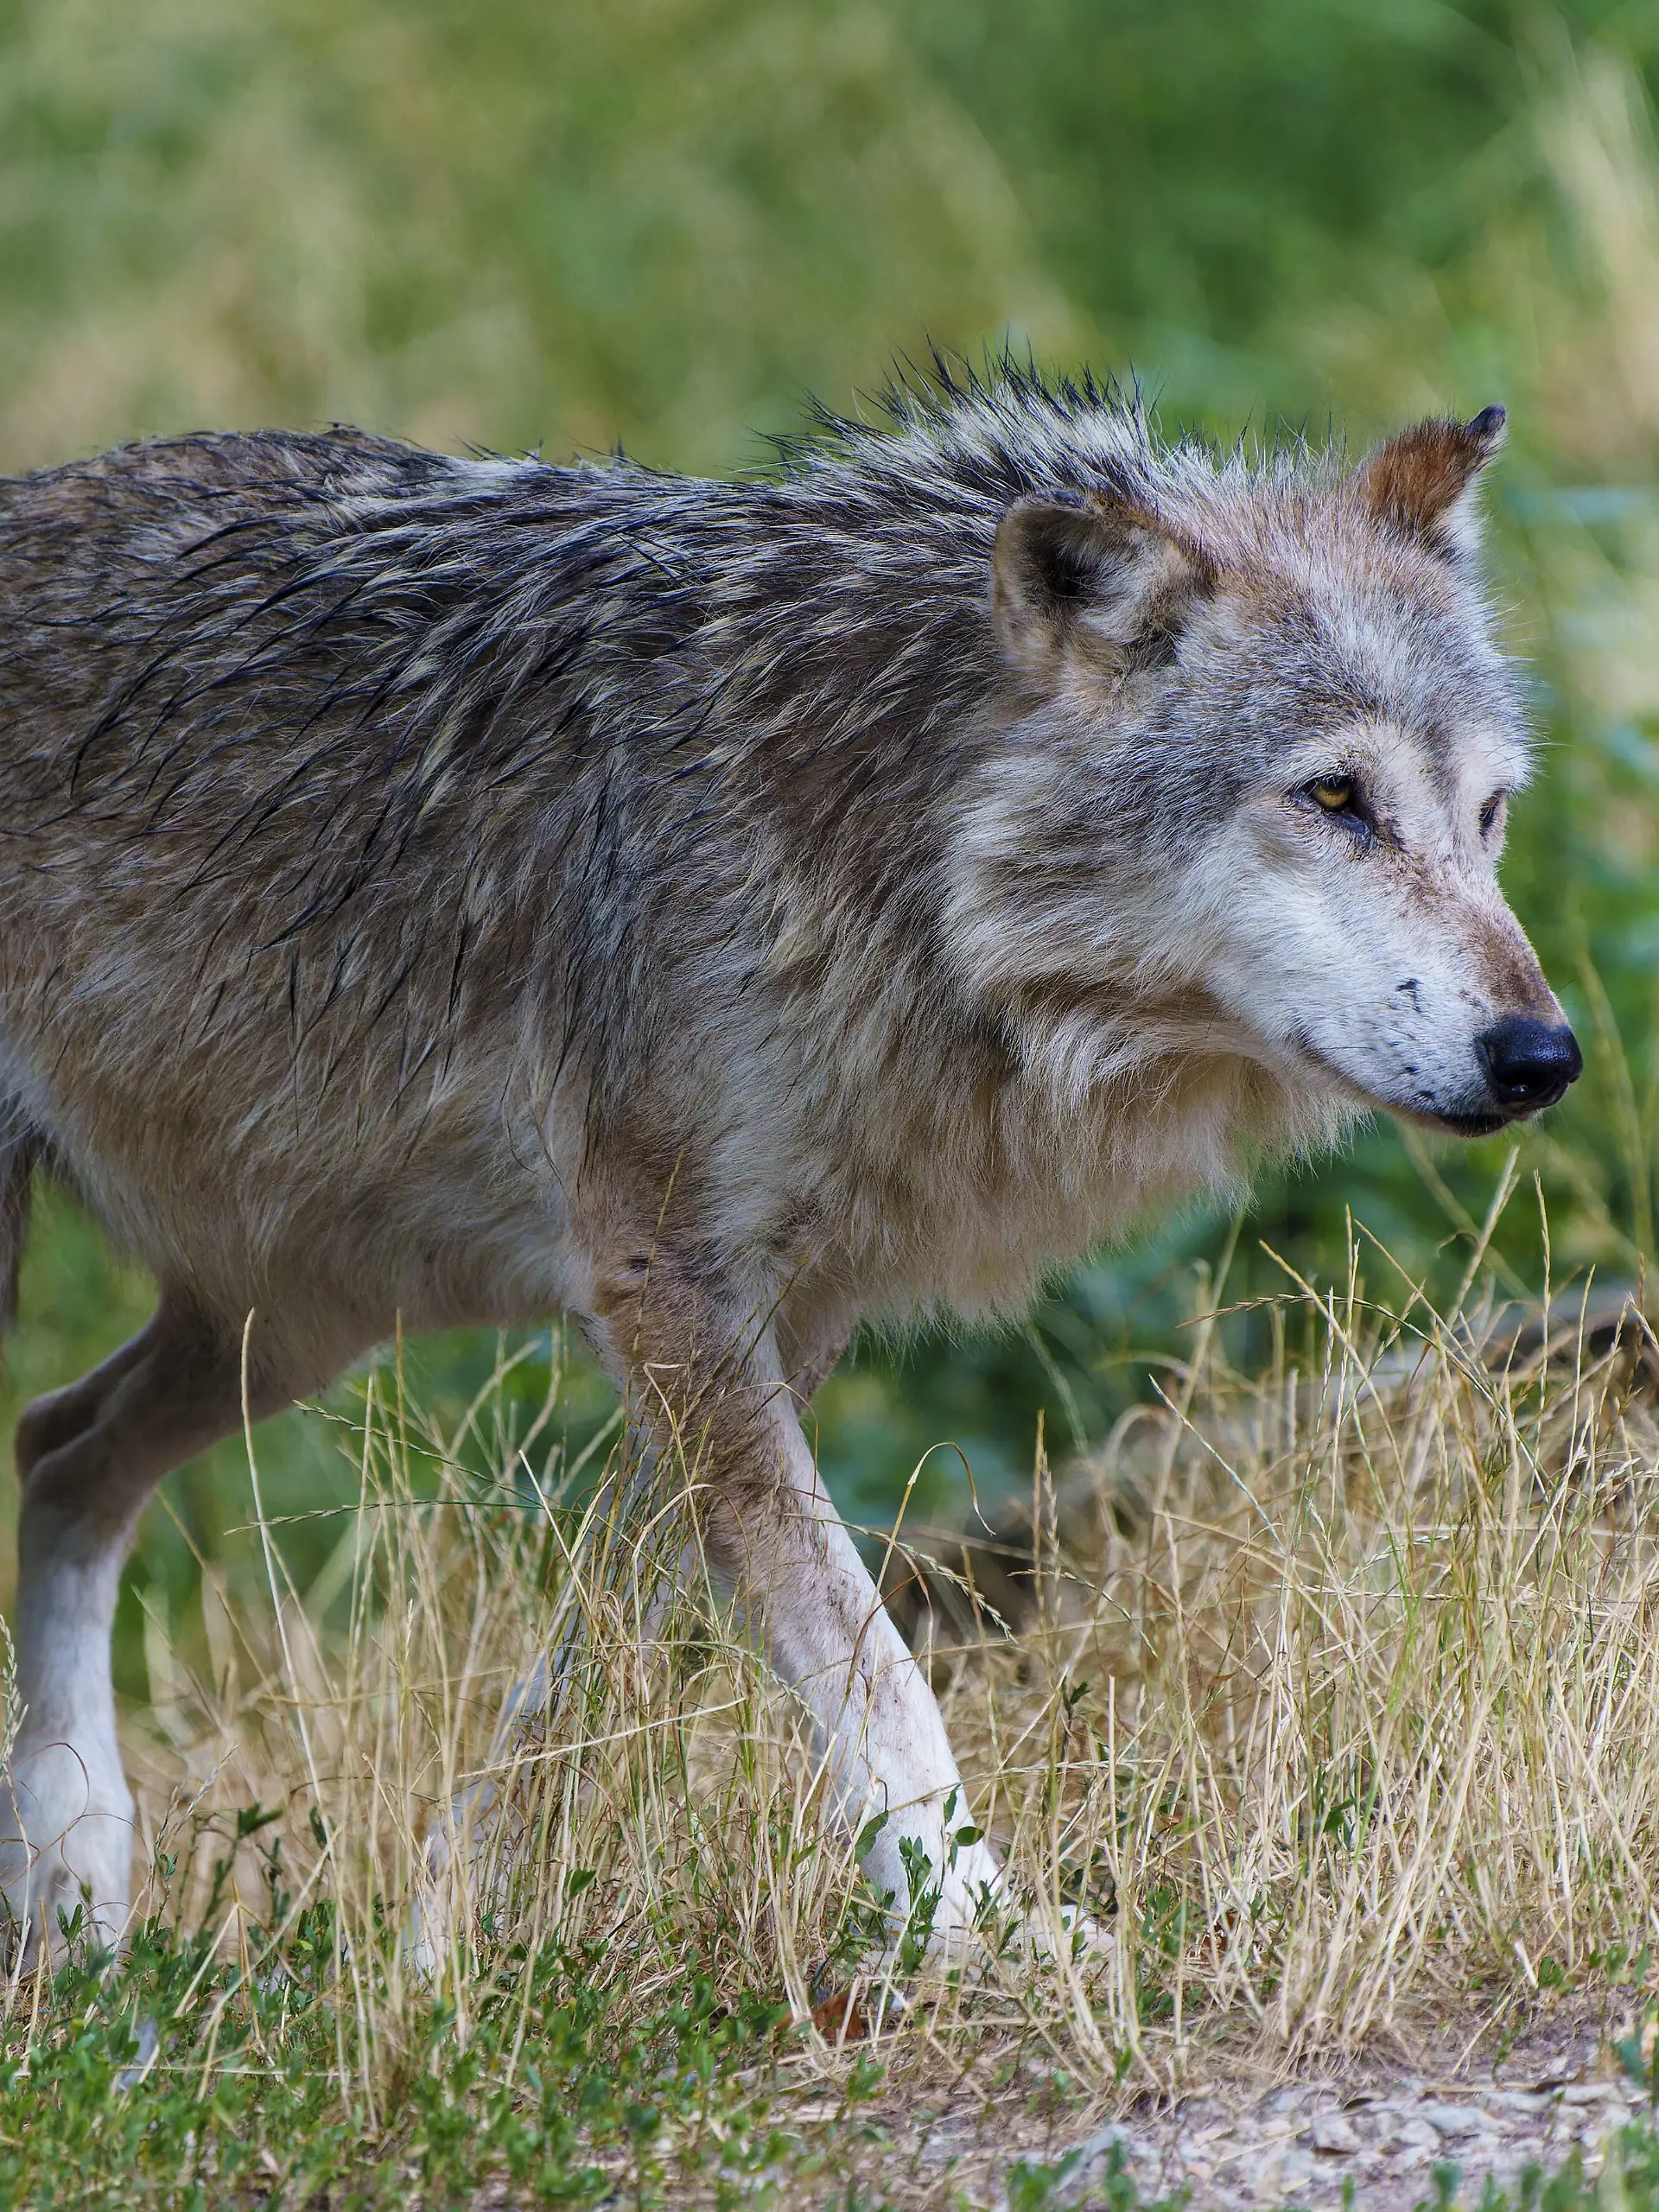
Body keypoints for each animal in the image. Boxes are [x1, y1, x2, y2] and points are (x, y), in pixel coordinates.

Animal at [0, 367, 1580, 1967]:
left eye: (1491, 813)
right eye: (1334, 799)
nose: (1542, 1055)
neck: (882, 849)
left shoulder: (784, 1310)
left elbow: (597, 1651)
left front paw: (445, 1941)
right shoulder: (664, 1279)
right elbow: (861, 1650)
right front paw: (972, 1927)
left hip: (300, 1317)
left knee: (59, 1450)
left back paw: (78, 1873)